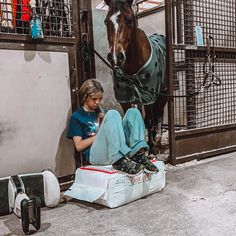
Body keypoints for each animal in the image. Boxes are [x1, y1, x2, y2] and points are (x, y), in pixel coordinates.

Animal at [103, 0, 168, 155]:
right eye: (106, 21)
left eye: (129, 20)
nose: (115, 57)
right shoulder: (124, 98)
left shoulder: (149, 96)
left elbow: (148, 120)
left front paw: (150, 149)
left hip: (163, 92)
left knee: (159, 113)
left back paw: (157, 139)